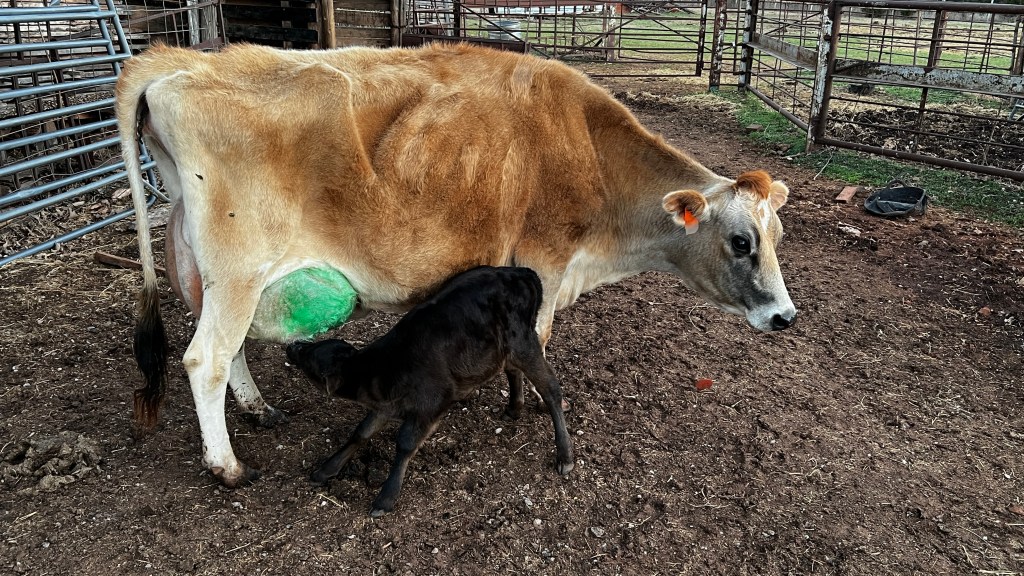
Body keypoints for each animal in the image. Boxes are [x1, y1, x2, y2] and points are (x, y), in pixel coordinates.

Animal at [115, 42, 796, 488]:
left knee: (227, 349)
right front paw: (519, 407)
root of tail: (187, 57)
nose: (785, 316)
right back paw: (227, 466)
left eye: (778, 234)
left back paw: (258, 410)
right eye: (741, 241)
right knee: (205, 358)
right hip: (239, 267)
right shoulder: (543, 263)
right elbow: (536, 346)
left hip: (205, 268)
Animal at [286, 266, 573, 517]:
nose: (291, 346)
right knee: (512, 370)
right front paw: (327, 469)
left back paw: (565, 454)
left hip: (523, 341)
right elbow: (361, 432)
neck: (382, 371)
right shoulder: (386, 405)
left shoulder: (431, 404)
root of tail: (522, 272)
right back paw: (514, 408)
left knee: (551, 388)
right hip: (504, 348)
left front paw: (386, 497)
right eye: (309, 348)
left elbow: (405, 443)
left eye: (308, 358)